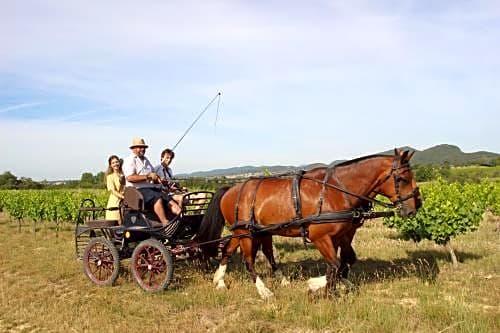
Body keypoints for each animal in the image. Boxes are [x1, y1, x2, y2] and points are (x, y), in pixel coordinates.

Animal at [196, 149, 422, 296]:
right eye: (402, 179)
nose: (414, 207)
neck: (336, 191)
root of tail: (231, 189)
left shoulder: (341, 234)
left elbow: (345, 261)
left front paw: (338, 286)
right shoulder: (320, 237)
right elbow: (335, 264)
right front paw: (318, 285)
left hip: (249, 231)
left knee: (231, 250)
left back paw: (221, 281)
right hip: (247, 233)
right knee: (248, 260)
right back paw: (263, 290)